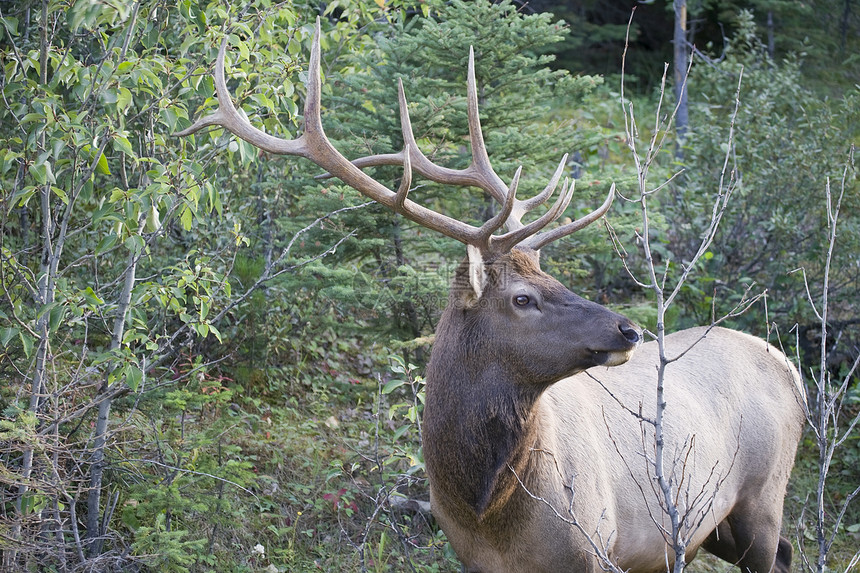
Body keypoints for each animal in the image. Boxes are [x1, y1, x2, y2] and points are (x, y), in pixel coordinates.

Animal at [178, 19, 808, 572]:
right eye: (524, 298)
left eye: (552, 282)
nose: (628, 329)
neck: (488, 515)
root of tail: (791, 368)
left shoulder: (599, 548)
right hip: (711, 528)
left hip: (761, 498)